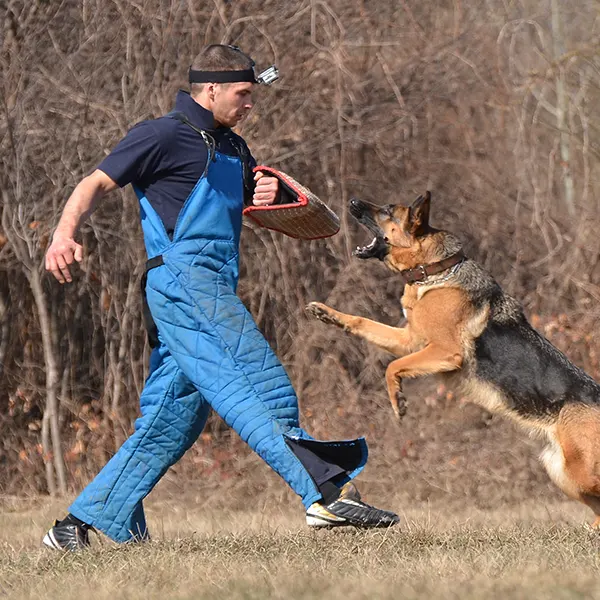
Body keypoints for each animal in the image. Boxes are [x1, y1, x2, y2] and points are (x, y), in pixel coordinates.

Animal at [308, 192, 600, 524]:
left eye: (387, 211)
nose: (354, 202)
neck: (434, 271)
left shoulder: (444, 352)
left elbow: (393, 367)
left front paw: (398, 401)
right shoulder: (409, 341)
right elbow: (362, 323)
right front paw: (326, 313)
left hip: (578, 473)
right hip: (561, 471)